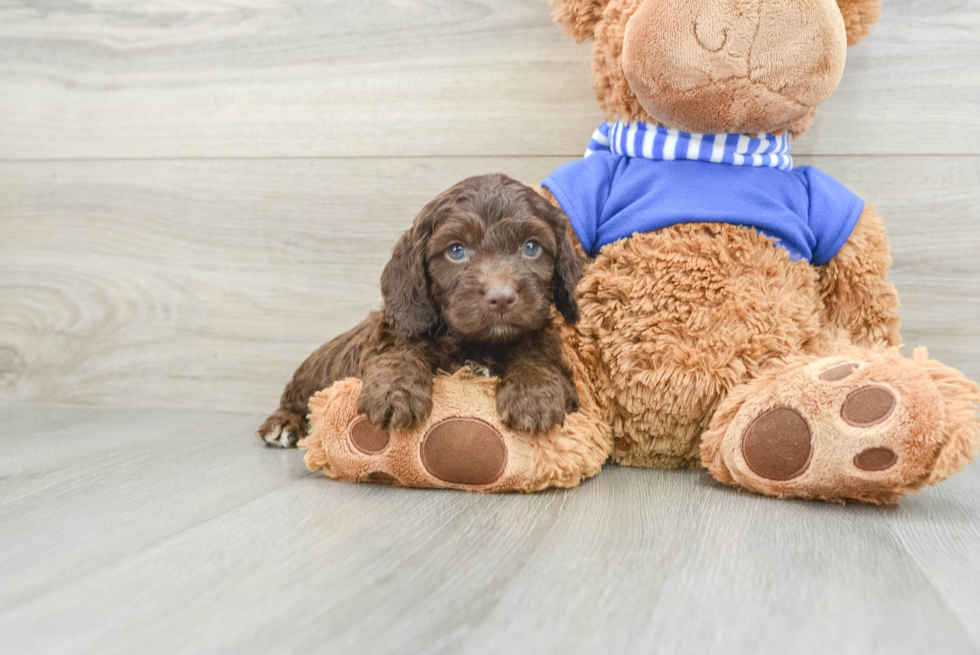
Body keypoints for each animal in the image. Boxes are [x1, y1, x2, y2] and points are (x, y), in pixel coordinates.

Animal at [258, 174, 580, 448]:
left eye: (531, 247)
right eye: (456, 250)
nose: (501, 298)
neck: (479, 343)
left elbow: (538, 358)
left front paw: (533, 395)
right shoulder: (396, 330)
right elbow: (399, 352)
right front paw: (395, 393)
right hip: (310, 376)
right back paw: (283, 424)